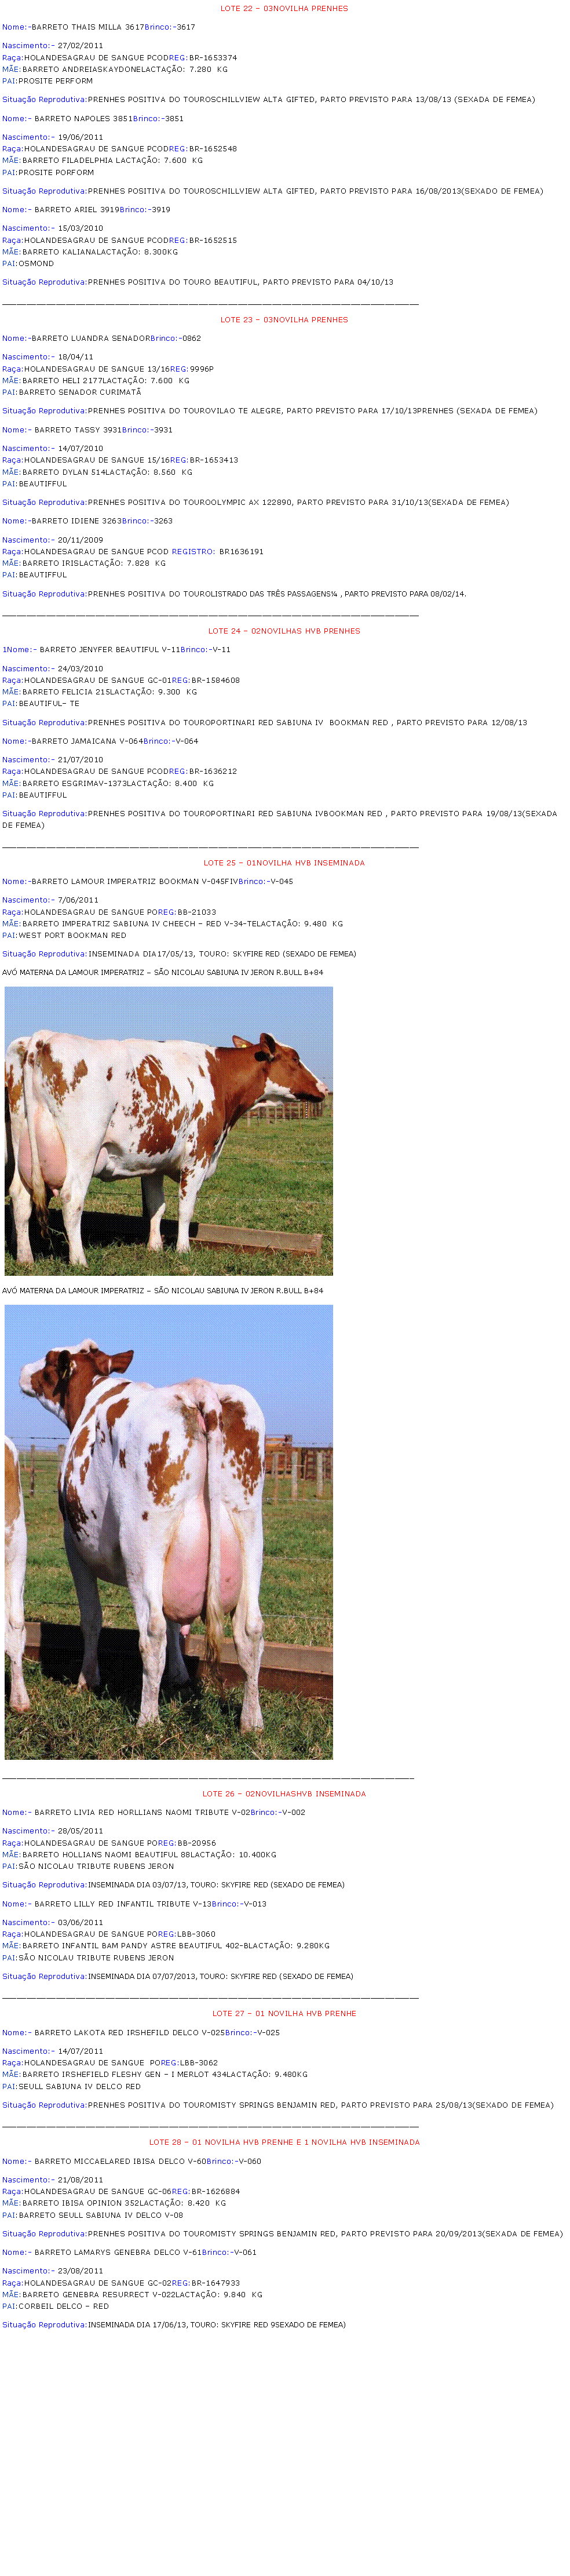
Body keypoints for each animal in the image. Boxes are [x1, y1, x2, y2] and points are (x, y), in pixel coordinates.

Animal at [6, 1029, 327, 1265]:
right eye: (295, 1058)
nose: (324, 1088)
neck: (217, 1077)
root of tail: (42, 1038)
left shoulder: (153, 1161)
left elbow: (156, 1206)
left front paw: (155, 1247)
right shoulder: (198, 1158)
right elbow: (185, 1208)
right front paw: (183, 1250)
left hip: (23, 1148)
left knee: (20, 1198)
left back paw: (25, 1258)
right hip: (83, 1150)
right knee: (72, 1199)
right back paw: (79, 1260)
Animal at [19, 1342, 266, 1733]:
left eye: (47, 1362)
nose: (23, 1372)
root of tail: (197, 1390)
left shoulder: (75, 1549)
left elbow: (93, 1619)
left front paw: (88, 1681)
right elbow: (178, 1624)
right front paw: (180, 1679)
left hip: (143, 1546)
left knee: (151, 1632)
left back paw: (147, 1721)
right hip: (250, 1534)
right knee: (250, 1629)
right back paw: (251, 1721)